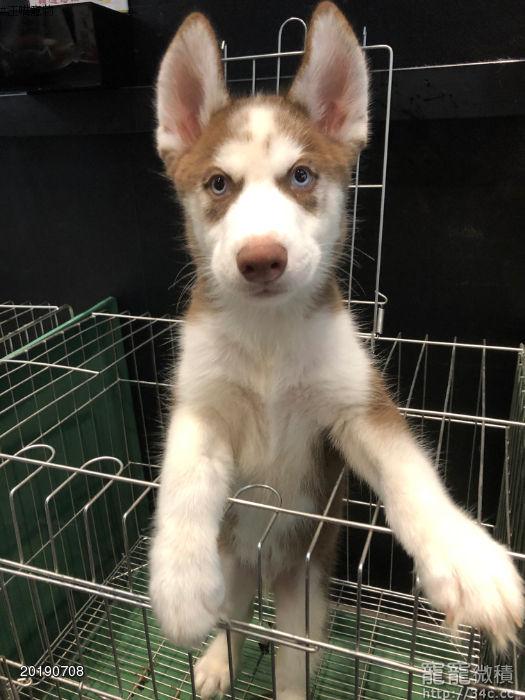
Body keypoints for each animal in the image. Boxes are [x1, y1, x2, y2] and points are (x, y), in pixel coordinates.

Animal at [149, 3, 524, 698]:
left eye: (301, 176)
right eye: (218, 184)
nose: (261, 258)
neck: (268, 340)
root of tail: (267, 570)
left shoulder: (355, 406)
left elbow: (410, 474)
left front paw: (468, 561)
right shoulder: (201, 400)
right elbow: (183, 481)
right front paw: (180, 586)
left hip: (306, 573)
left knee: (295, 651)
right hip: (238, 560)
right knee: (237, 617)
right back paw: (218, 658)